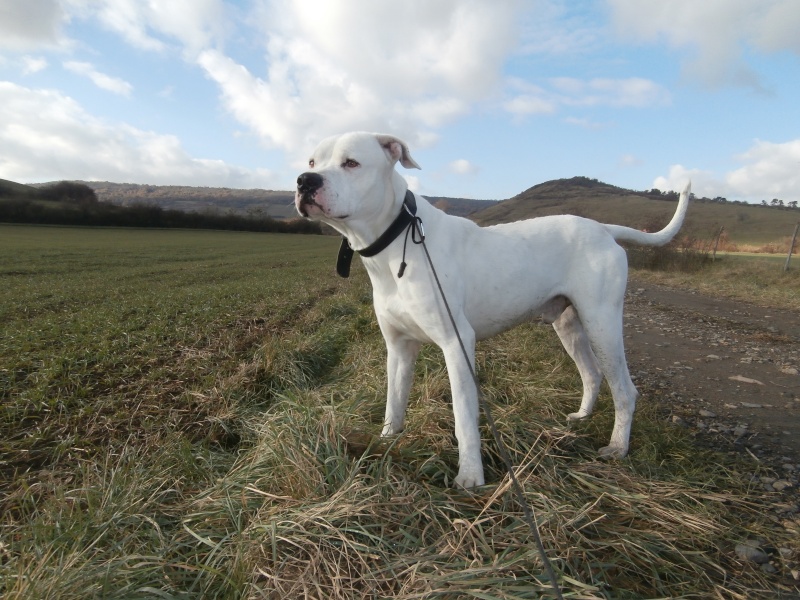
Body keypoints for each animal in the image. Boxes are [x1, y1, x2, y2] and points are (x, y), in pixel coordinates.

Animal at [296, 131, 692, 488]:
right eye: (313, 162)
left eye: (351, 163)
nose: (304, 181)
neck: (395, 243)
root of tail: (603, 229)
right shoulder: (398, 348)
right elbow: (393, 404)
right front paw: (385, 442)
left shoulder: (457, 344)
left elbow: (463, 417)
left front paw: (471, 476)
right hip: (569, 325)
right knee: (591, 374)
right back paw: (581, 416)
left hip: (602, 323)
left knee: (624, 389)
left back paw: (617, 447)